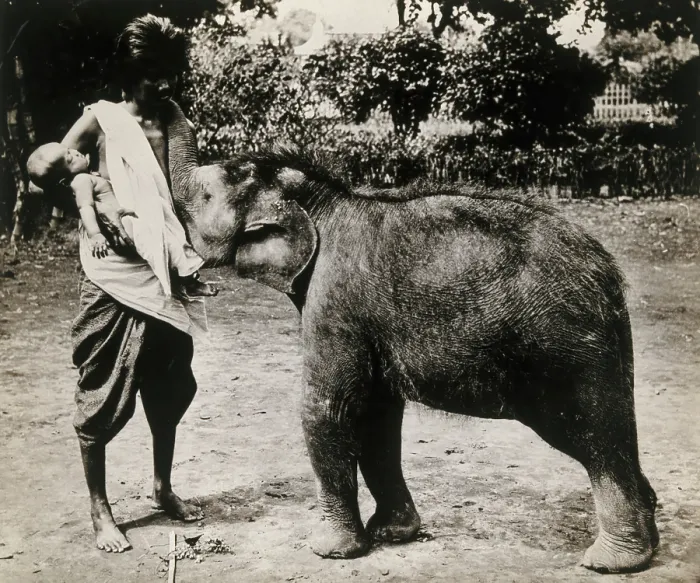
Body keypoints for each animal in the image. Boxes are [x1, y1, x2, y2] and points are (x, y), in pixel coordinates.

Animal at [166, 103, 658, 574]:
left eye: (205, 196)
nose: (158, 88)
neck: (325, 200)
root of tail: (607, 271)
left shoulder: (335, 299)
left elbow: (328, 407)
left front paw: (329, 551)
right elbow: (378, 413)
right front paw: (393, 534)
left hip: (563, 345)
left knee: (593, 435)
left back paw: (611, 562)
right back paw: (648, 542)